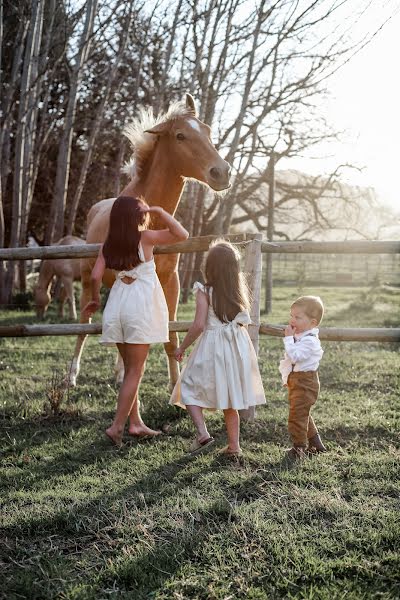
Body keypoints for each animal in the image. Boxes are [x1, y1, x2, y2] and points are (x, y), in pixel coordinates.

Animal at [70, 92, 230, 386]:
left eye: (207, 131)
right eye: (180, 135)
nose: (222, 172)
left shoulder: (171, 281)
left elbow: (171, 336)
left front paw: (174, 385)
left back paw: (120, 372)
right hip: (88, 281)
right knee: (84, 324)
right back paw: (71, 376)